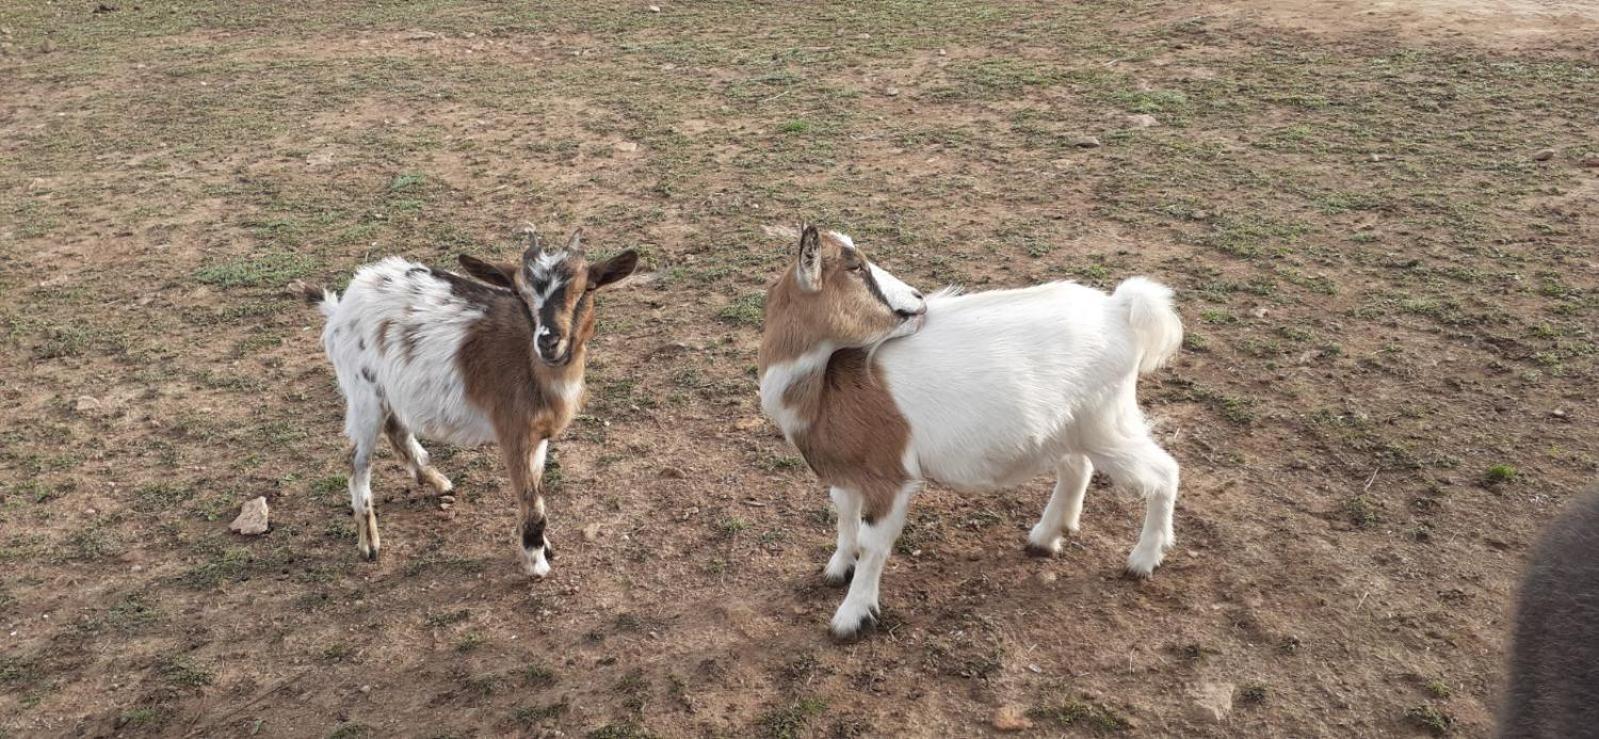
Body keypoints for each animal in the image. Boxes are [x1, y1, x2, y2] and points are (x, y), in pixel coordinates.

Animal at [303, 228, 636, 575]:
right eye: (519, 293)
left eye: (588, 288)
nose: (548, 341)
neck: (535, 369)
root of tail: (341, 306)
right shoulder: (513, 432)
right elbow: (532, 501)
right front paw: (535, 560)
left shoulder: (539, 436)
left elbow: (537, 490)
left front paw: (543, 545)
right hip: (362, 393)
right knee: (357, 461)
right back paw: (369, 542)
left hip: (388, 390)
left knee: (396, 429)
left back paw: (436, 481)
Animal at [754, 225, 1183, 636]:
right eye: (855, 267)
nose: (918, 298)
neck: (825, 385)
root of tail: (1120, 310)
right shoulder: (845, 471)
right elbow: (844, 516)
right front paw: (838, 568)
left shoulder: (889, 475)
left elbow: (871, 542)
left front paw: (851, 618)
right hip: (1066, 424)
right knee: (1077, 467)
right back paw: (1045, 538)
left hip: (1106, 421)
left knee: (1163, 471)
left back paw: (1143, 560)